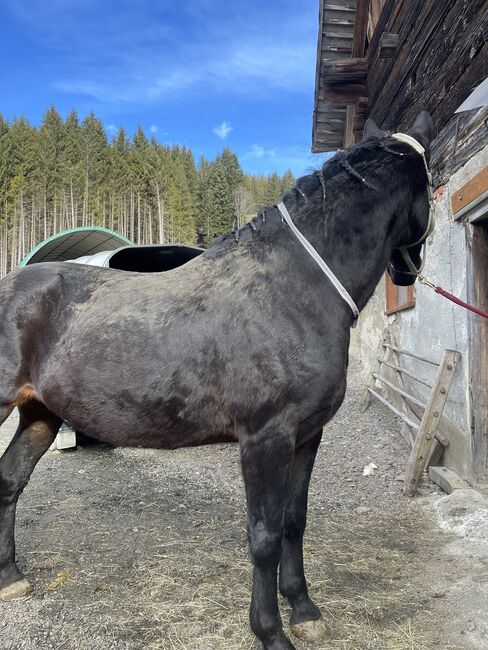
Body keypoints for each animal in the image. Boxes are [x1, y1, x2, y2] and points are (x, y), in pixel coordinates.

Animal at [1, 114, 432, 644]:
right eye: (430, 186)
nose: (410, 272)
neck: (293, 288)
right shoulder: (265, 438)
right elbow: (264, 535)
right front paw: (270, 632)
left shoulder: (307, 436)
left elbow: (294, 522)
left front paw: (304, 610)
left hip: (38, 414)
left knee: (9, 481)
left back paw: (11, 578)